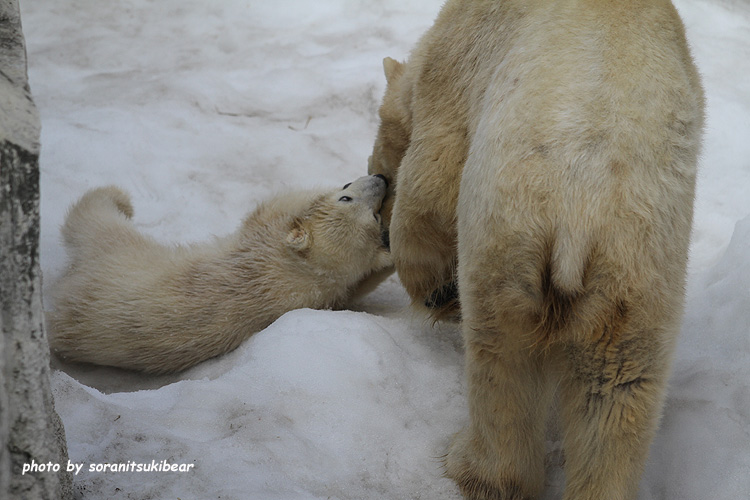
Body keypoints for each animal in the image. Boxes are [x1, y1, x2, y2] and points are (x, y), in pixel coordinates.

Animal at [48, 176, 394, 376]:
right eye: (347, 196)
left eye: (374, 216)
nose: (381, 177)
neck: (303, 271)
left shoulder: (265, 243)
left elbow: (274, 206)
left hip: (116, 260)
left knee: (94, 218)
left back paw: (118, 199)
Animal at [368, 0, 704, 500]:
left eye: (384, 172)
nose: (380, 225)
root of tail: (581, 209)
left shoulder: (455, 68)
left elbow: (432, 181)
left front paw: (434, 293)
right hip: (639, 269)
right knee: (618, 386)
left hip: (506, 238)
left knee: (501, 357)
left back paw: (472, 466)